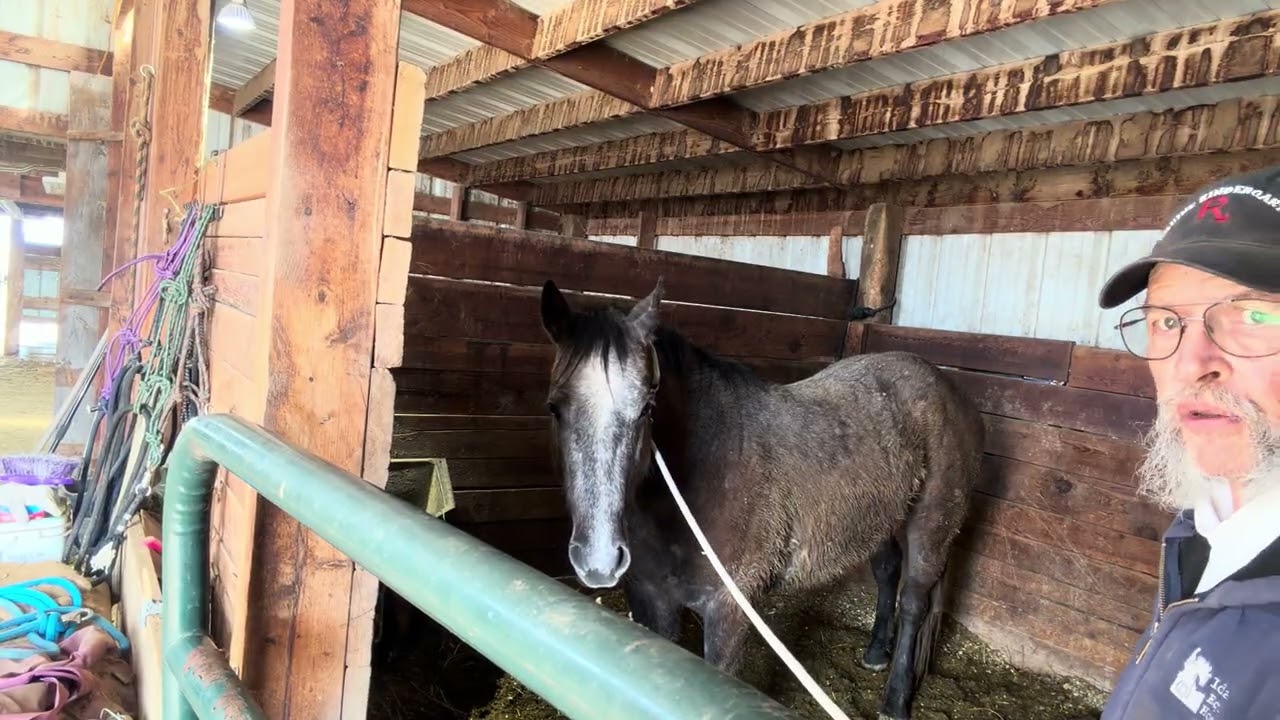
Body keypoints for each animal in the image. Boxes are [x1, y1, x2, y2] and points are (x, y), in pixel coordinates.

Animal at [538, 278, 984, 720]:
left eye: (647, 407)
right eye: (555, 408)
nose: (598, 560)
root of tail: (943, 384)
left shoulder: (728, 610)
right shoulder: (651, 602)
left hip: (930, 524)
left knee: (913, 602)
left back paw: (895, 700)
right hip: (881, 516)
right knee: (888, 572)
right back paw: (875, 654)